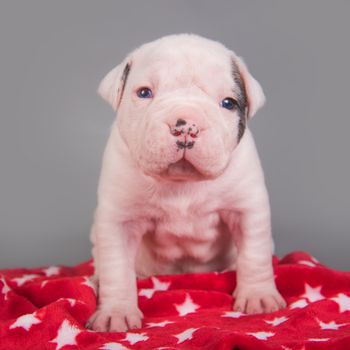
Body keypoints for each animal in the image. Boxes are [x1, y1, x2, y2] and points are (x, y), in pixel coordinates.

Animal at [89, 34, 286, 332]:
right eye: (144, 93)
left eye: (228, 103)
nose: (186, 126)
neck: (182, 182)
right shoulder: (119, 220)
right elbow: (116, 268)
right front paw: (116, 312)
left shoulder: (247, 210)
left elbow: (255, 254)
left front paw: (258, 296)